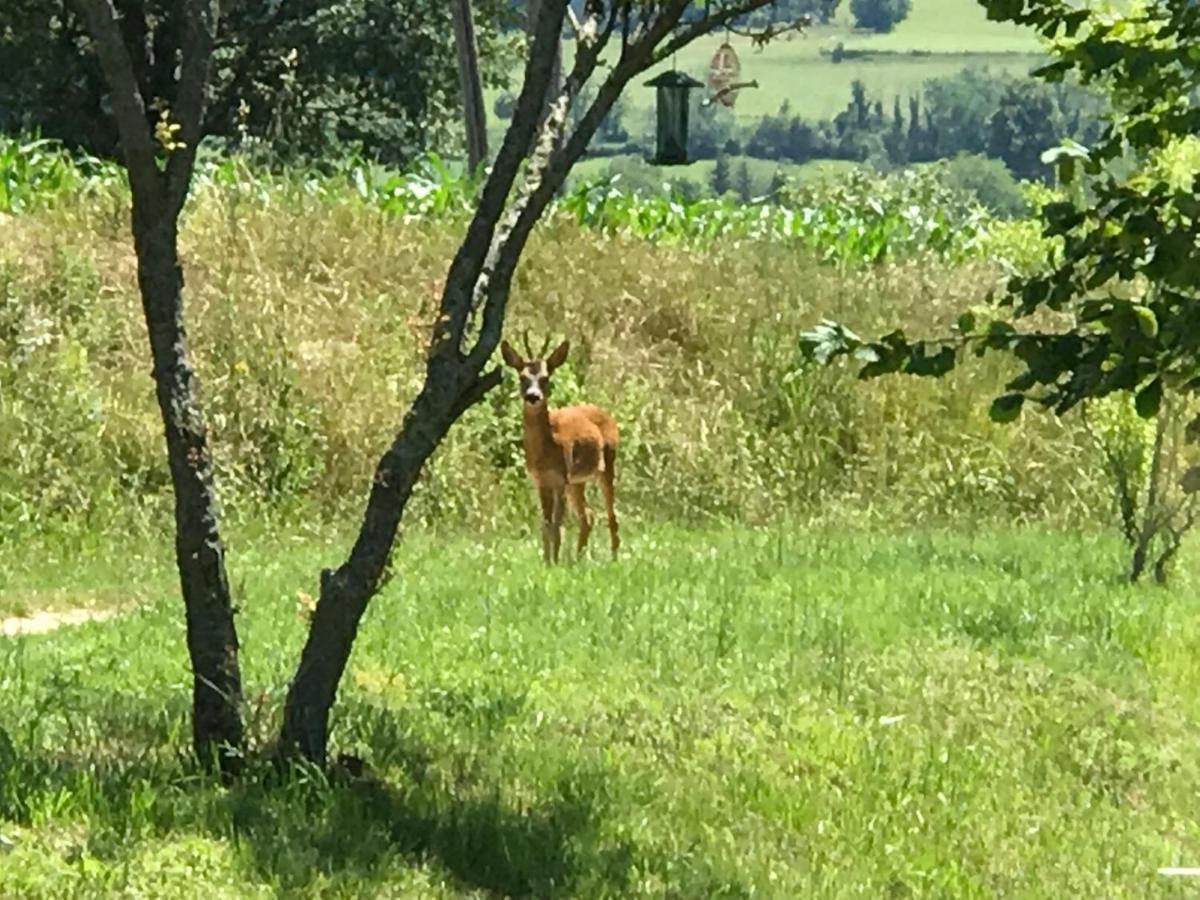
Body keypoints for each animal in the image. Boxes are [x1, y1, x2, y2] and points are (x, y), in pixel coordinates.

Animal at [501, 336, 624, 566]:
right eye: (522, 377)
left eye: (545, 378)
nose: (533, 396)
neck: (546, 450)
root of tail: (607, 414)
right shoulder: (541, 481)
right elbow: (545, 524)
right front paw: (547, 562)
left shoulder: (560, 479)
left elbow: (556, 525)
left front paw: (555, 563)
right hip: (577, 481)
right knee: (588, 516)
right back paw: (578, 558)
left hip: (606, 465)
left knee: (611, 515)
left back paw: (613, 559)